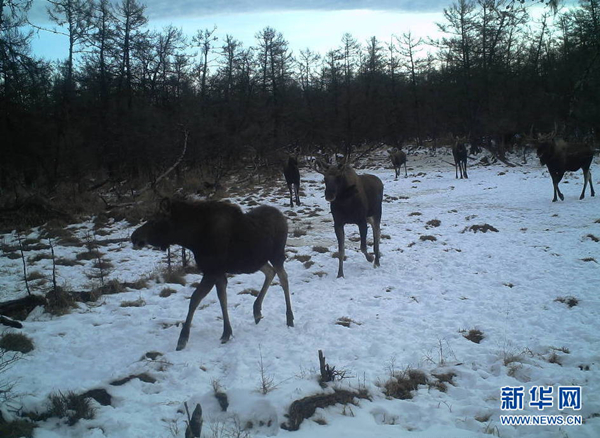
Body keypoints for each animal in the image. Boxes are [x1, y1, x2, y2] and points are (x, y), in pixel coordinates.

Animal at [130, 198, 294, 350]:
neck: (191, 238)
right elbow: (222, 297)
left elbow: (195, 299)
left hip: (276, 255)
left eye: (155, 221)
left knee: (284, 278)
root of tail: (283, 217)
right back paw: (257, 311)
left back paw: (289, 318)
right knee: (270, 272)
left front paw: (183, 338)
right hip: (257, 261)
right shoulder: (217, 272)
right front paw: (227, 332)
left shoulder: (211, 271)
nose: (134, 237)